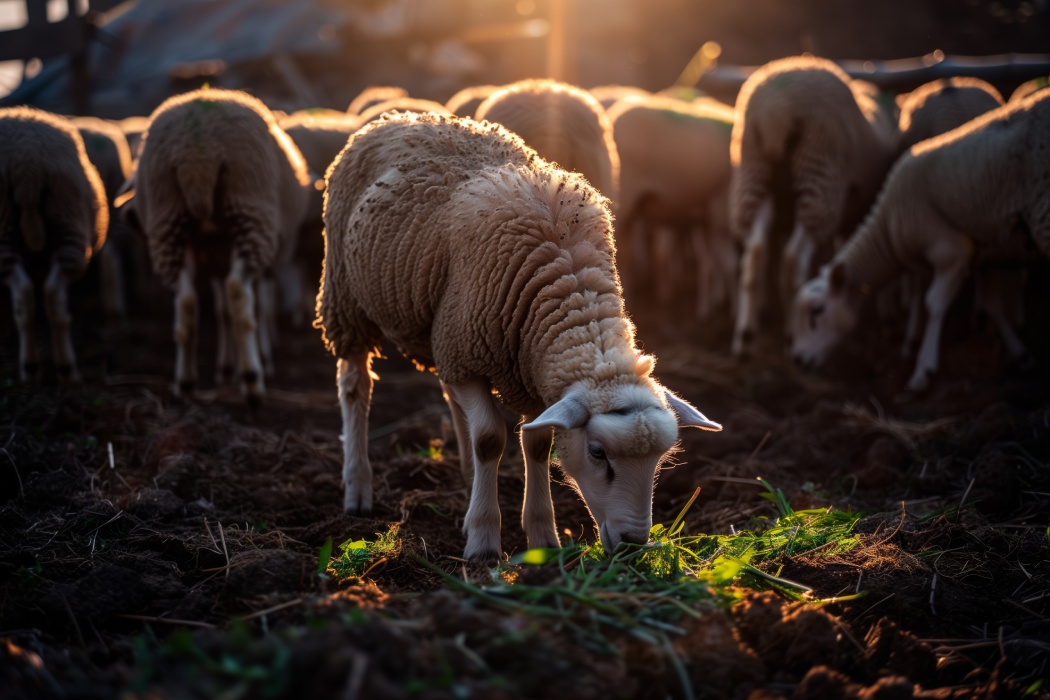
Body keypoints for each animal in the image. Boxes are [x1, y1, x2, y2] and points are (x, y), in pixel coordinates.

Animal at [0, 107, 108, 383]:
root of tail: (27, 165)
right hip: (65, 224)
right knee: (45, 294)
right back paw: (52, 368)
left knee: (33, 293)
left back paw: (48, 370)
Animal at [125, 88, 311, 401]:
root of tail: (196, 156)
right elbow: (257, 308)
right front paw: (253, 362)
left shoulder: (213, 259)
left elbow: (222, 312)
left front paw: (227, 368)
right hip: (250, 208)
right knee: (237, 293)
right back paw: (252, 381)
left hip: (168, 221)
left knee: (186, 302)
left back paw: (185, 382)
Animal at [316, 112, 721, 561]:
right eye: (598, 453)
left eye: (660, 460)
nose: (633, 544)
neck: (569, 289)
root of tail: (401, 116)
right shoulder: (470, 354)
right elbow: (490, 439)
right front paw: (482, 542)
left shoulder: (524, 368)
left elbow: (538, 443)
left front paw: (544, 538)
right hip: (346, 296)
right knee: (356, 386)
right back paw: (358, 490)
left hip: (441, 328)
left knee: (448, 394)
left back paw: (465, 476)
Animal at [729, 56, 898, 359]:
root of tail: (776, 111)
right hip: (818, 174)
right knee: (792, 258)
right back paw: (789, 332)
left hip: (755, 173)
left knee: (755, 254)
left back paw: (745, 338)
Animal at [790, 90, 1050, 393]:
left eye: (817, 311)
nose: (798, 360)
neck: (888, 224)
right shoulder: (987, 248)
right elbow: (992, 306)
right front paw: (1021, 354)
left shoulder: (952, 250)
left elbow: (933, 304)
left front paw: (922, 371)